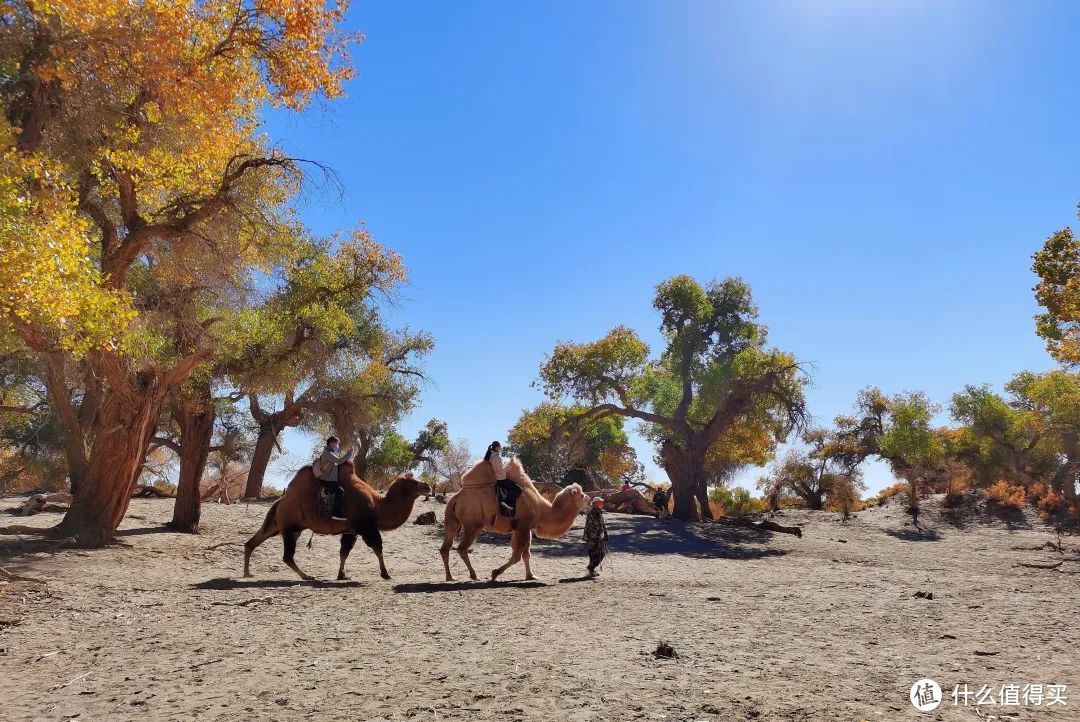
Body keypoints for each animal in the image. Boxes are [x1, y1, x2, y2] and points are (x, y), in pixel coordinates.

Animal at [245, 461, 429, 578]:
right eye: (414, 482)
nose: (428, 486)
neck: (378, 506)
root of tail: (280, 500)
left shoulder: (351, 530)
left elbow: (344, 552)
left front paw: (342, 575)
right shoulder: (367, 527)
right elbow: (377, 548)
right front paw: (385, 574)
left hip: (278, 525)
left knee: (254, 541)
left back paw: (247, 573)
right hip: (291, 527)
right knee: (287, 556)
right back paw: (307, 576)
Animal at [438, 459, 587, 582]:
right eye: (581, 495)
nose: (590, 499)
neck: (542, 510)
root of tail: (456, 498)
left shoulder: (522, 528)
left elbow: (526, 554)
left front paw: (531, 576)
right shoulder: (523, 527)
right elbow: (517, 555)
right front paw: (495, 573)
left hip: (453, 521)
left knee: (445, 548)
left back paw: (450, 577)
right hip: (473, 525)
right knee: (462, 548)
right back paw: (474, 575)